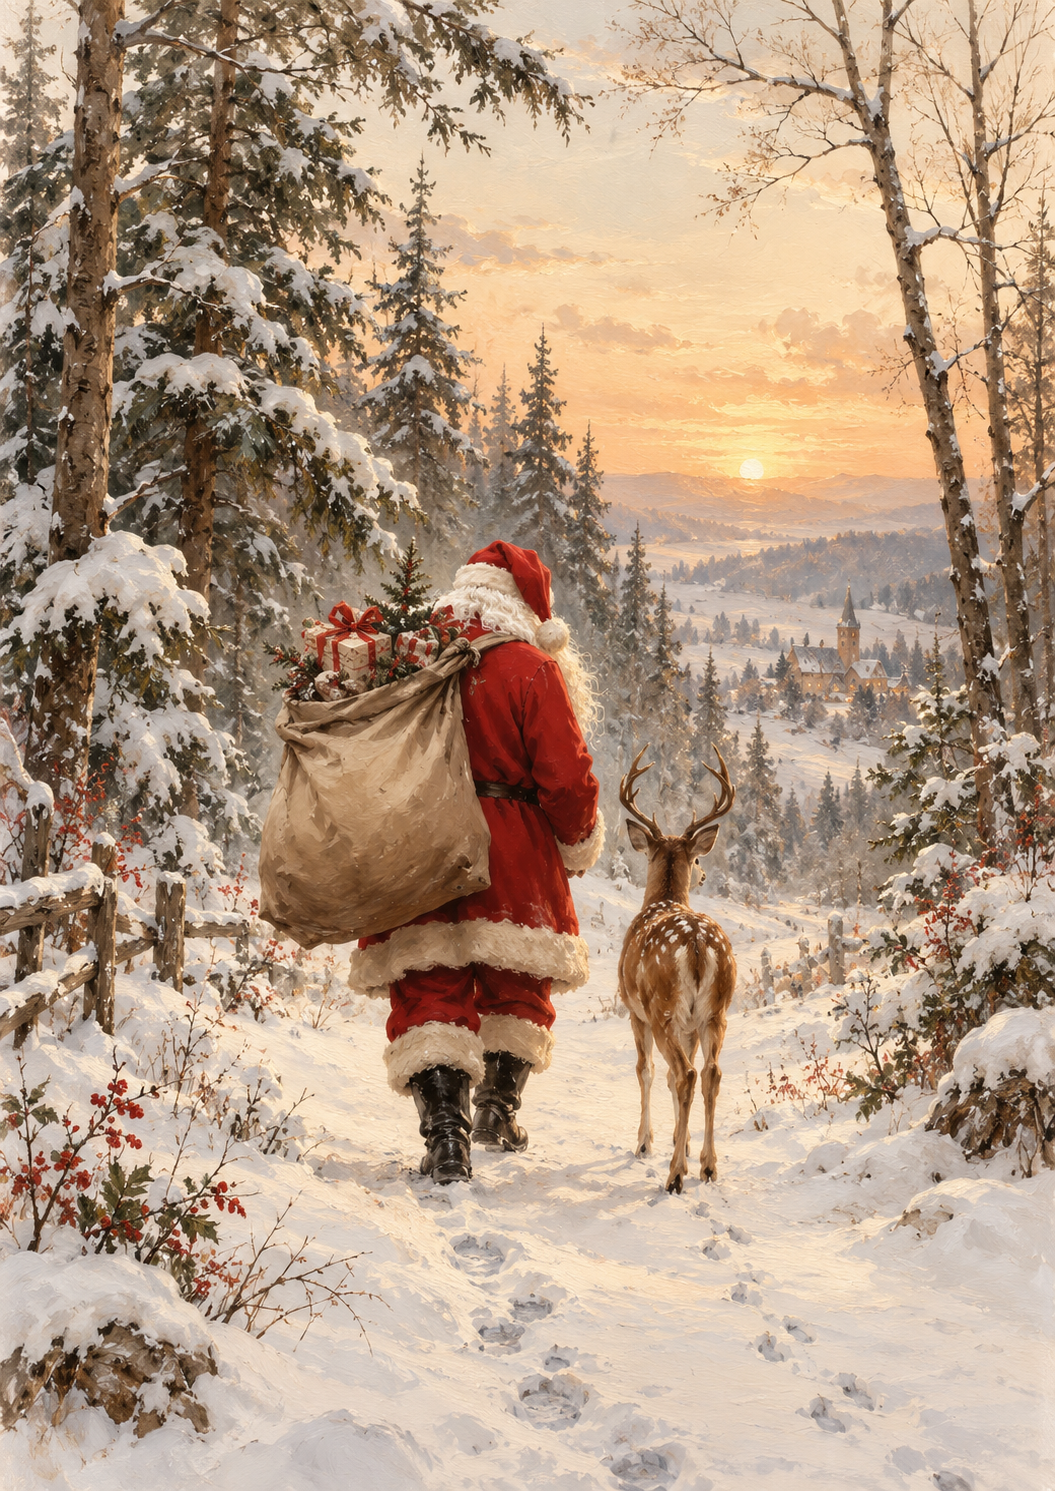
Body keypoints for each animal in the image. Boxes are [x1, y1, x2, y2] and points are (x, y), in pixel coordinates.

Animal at [617, 747, 737, 1194]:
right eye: (696, 856)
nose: (702, 874)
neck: (662, 900)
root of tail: (699, 945)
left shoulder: (633, 1010)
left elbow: (647, 1071)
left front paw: (645, 1142)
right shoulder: (690, 1024)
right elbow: (670, 1079)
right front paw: (680, 1143)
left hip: (662, 1007)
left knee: (684, 1072)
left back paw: (674, 1176)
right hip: (715, 1011)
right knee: (710, 1073)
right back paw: (707, 1165)